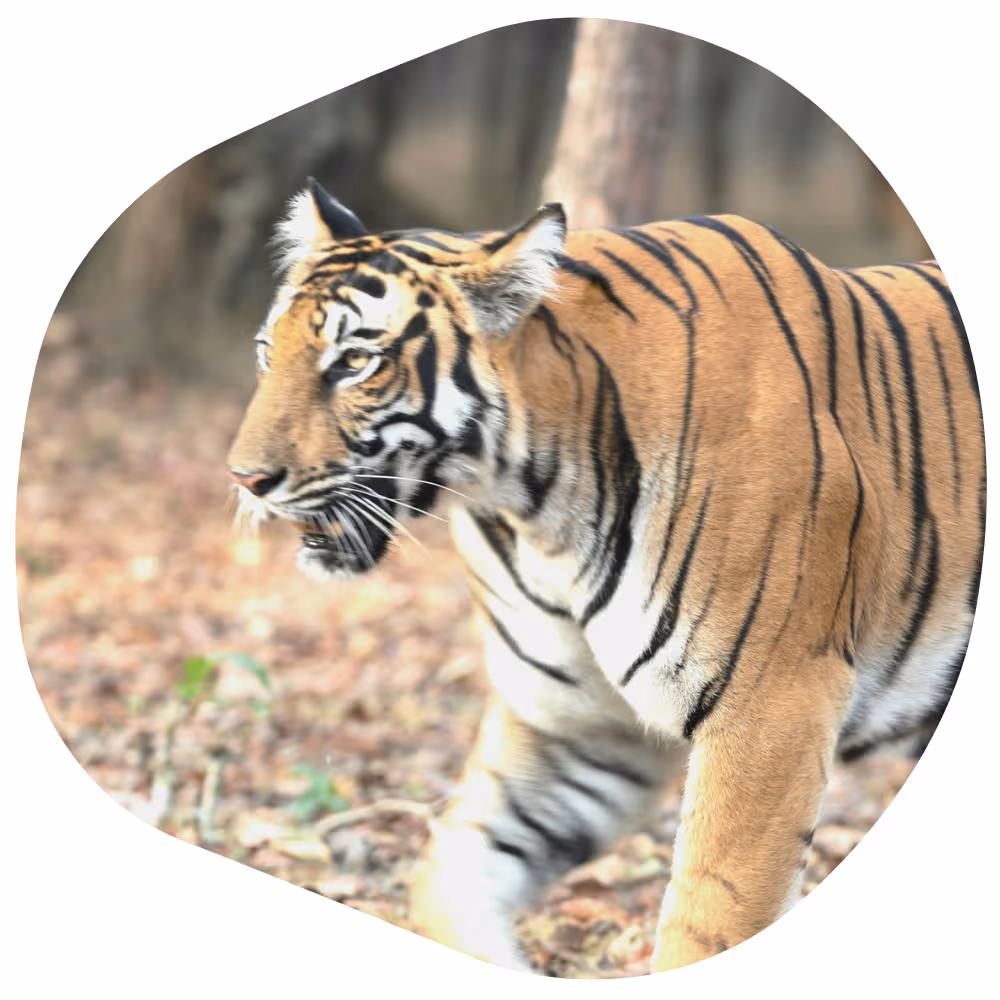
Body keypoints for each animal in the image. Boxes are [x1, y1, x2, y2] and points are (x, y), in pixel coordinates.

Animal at [226, 177, 985, 975]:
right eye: (266, 351)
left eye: (353, 363)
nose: (245, 480)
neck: (535, 509)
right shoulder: (576, 729)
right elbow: (447, 875)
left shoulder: (772, 707)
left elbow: (707, 921)